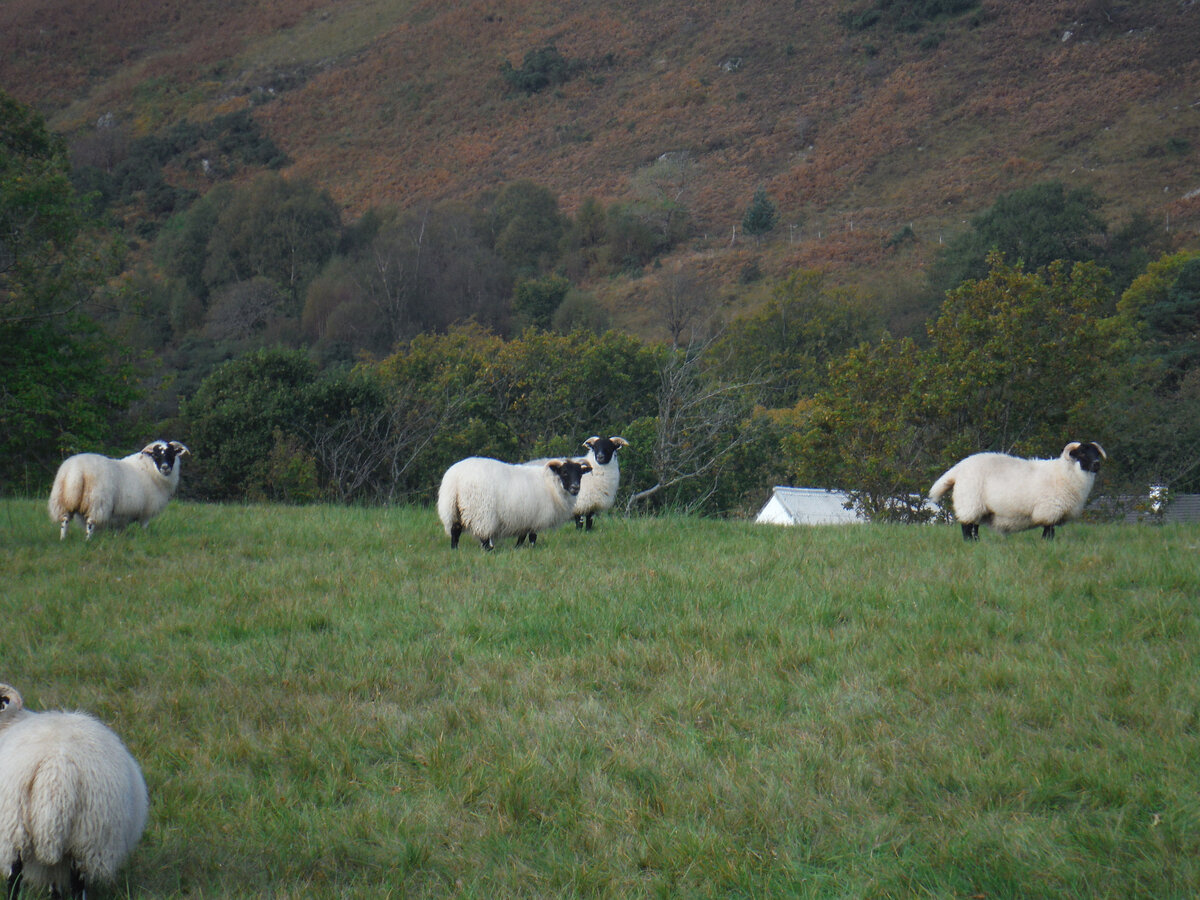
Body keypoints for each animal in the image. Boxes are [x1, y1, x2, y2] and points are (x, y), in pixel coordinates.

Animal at [48, 441, 189, 540]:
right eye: (155, 454)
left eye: (172, 453)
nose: (165, 467)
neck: (150, 469)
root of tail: (77, 470)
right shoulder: (146, 510)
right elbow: (144, 526)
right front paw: (144, 537)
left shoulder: (121, 513)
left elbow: (118, 529)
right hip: (97, 501)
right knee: (90, 523)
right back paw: (88, 540)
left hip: (63, 500)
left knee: (64, 521)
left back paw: (63, 539)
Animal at [439, 458, 592, 549]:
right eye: (565, 472)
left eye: (580, 473)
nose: (575, 487)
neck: (552, 484)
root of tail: (456, 479)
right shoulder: (534, 518)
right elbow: (532, 536)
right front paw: (531, 549)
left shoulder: (525, 518)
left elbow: (522, 536)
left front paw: (517, 548)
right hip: (481, 512)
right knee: (483, 535)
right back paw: (489, 551)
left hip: (452, 509)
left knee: (455, 531)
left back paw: (455, 550)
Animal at [926, 441, 1104, 540]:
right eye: (1082, 453)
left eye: (1096, 453)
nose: (1097, 465)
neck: (1066, 472)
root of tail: (958, 468)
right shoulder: (1049, 511)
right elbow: (1048, 533)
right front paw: (1047, 545)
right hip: (970, 502)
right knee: (966, 528)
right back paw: (970, 544)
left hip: (979, 507)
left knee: (974, 528)